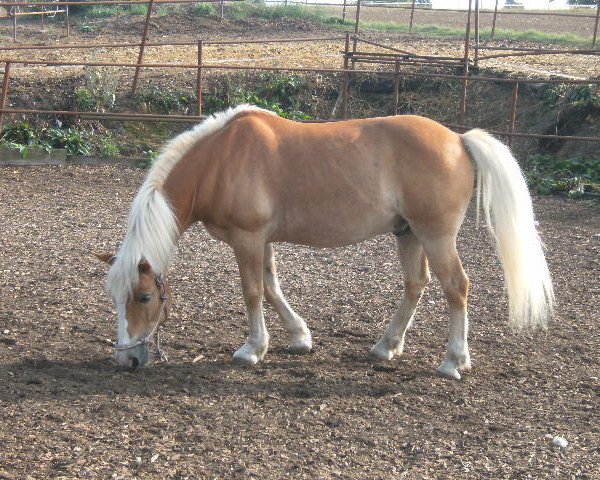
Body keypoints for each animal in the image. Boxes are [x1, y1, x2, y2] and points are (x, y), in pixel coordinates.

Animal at [95, 104, 552, 378]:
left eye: (144, 297)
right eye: (116, 298)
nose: (127, 358)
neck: (219, 160)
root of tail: (458, 140)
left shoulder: (247, 238)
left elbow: (252, 291)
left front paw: (252, 348)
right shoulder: (262, 240)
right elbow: (272, 288)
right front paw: (299, 337)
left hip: (435, 236)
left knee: (456, 288)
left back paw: (453, 360)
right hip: (408, 234)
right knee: (415, 285)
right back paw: (386, 346)